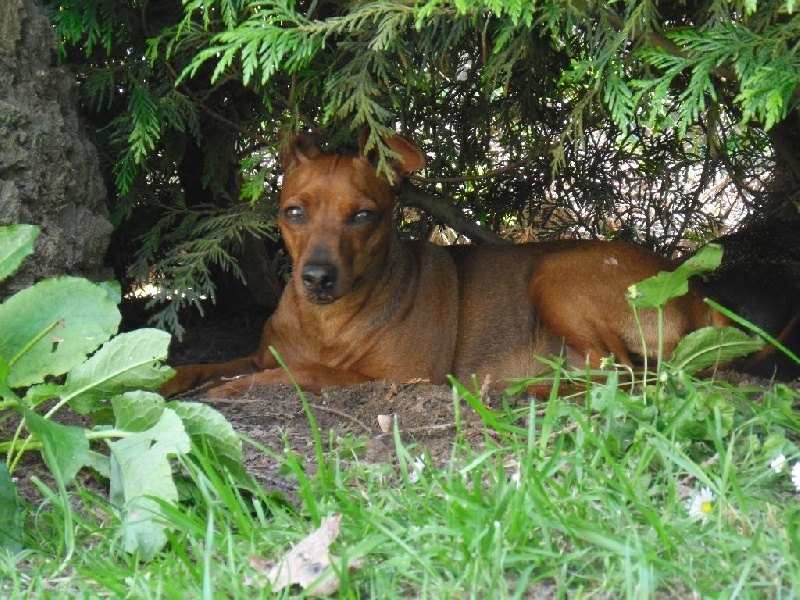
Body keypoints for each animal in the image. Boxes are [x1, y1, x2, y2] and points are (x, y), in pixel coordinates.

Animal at [161, 133, 724, 396]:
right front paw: (169, 380)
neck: (324, 321)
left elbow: (300, 372)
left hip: (556, 278)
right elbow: (201, 364)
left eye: (363, 216)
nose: (316, 277)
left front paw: (234, 389)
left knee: (622, 374)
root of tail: (698, 293)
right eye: (292, 213)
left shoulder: (393, 378)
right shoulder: (261, 353)